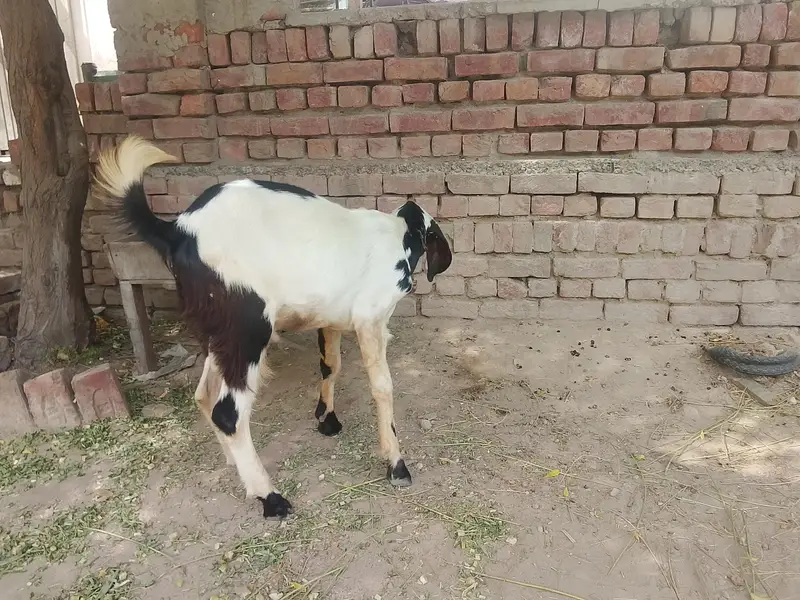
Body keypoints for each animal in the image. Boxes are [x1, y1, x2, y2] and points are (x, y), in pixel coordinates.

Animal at [94, 136, 452, 519]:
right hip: (248, 326)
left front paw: (326, 418)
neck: (399, 236)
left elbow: (330, 365)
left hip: (222, 332)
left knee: (205, 394)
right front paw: (396, 464)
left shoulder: (330, 318)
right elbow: (382, 387)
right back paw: (270, 497)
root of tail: (179, 231)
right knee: (227, 412)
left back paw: (237, 466)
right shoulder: (370, 318)